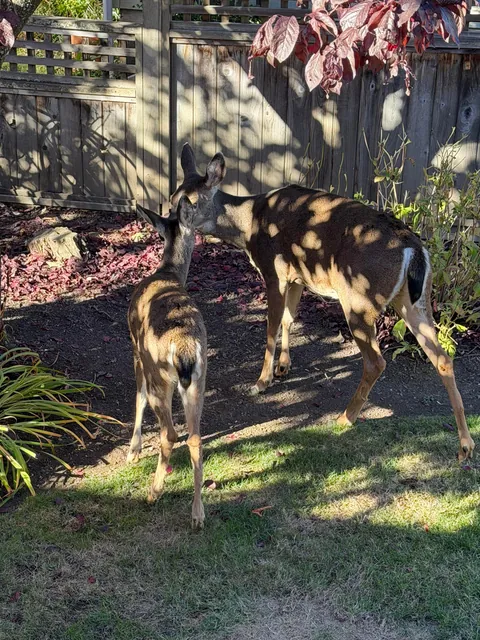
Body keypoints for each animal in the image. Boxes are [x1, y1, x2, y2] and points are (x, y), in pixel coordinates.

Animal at [168, 143, 475, 462]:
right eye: (172, 199)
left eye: (189, 201)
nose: (171, 221)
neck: (248, 225)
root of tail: (414, 249)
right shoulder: (297, 277)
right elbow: (290, 318)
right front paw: (283, 367)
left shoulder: (274, 271)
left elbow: (271, 326)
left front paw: (261, 382)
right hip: (415, 301)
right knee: (442, 358)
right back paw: (465, 445)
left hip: (359, 299)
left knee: (376, 361)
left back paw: (345, 418)